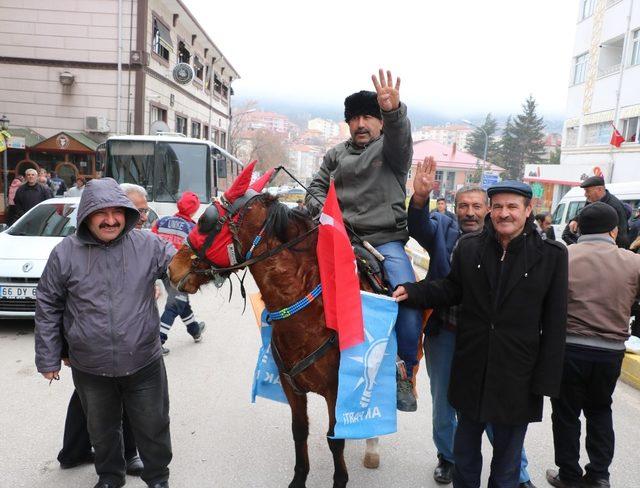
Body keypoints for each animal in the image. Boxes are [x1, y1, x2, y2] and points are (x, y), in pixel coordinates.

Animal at [168, 166, 378, 486]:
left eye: (206, 221)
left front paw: (340, 478)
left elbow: (335, 440)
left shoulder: (334, 389)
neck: (310, 316)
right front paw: (299, 477)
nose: (172, 267)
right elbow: (299, 431)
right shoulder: (292, 387)